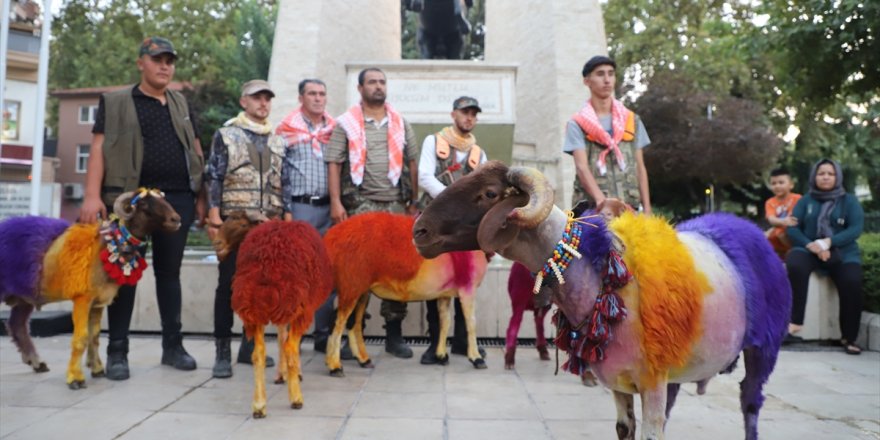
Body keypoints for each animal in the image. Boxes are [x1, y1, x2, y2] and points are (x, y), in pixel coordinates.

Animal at [230, 220, 334, 420]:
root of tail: (266, 261)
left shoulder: (282, 312)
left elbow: (280, 337)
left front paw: (281, 374)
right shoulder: (300, 309)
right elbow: (288, 342)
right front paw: (294, 374)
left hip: (253, 308)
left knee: (258, 353)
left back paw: (259, 405)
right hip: (294, 301)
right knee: (290, 347)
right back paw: (296, 399)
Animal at [324, 211, 488, 376]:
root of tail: (333, 236)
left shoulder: (445, 293)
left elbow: (445, 321)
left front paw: (441, 355)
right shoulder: (467, 287)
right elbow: (471, 322)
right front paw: (476, 358)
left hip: (361, 289)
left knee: (355, 324)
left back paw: (364, 360)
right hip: (351, 284)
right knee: (338, 323)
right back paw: (335, 367)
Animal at [416, 163, 796, 440]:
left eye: (489, 193)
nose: (419, 231)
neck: (598, 273)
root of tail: (744, 227)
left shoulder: (652, 381)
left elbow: (652, 434)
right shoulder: (618, 380)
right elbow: (624, 429)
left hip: (763, 347)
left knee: (750, 403)